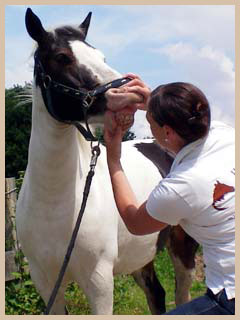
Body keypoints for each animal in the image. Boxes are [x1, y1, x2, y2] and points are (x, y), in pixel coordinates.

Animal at [15, 7, 199, 316]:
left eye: (100, 55)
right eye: (62, 57)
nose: (133, 91)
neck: (57, 206)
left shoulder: (98, 281)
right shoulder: (47, 283)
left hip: (183, 247)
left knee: (180, 294)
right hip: (140, 255)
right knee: (157, 294)